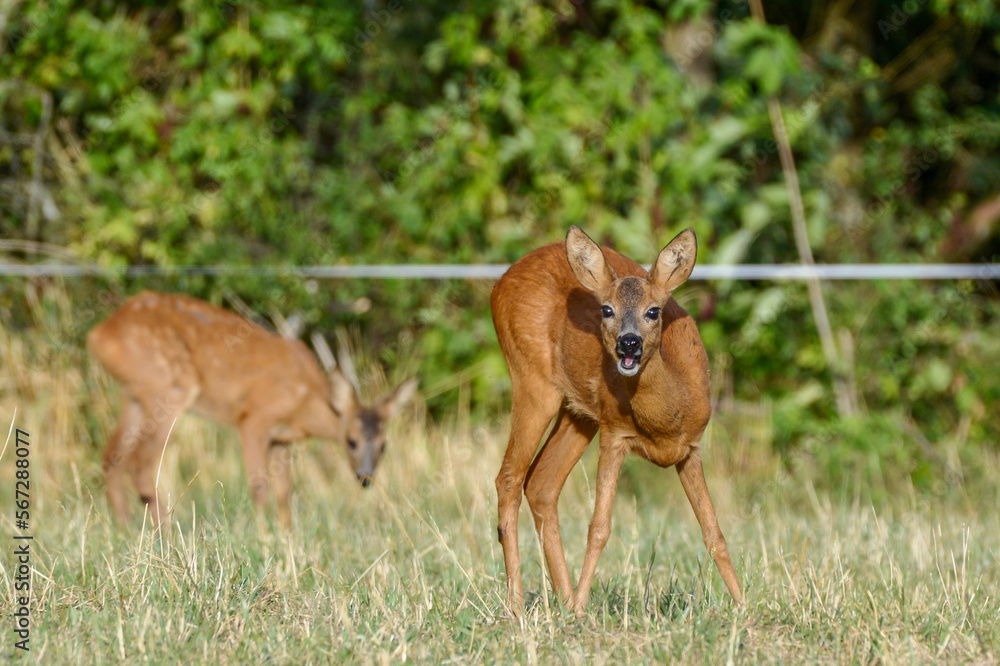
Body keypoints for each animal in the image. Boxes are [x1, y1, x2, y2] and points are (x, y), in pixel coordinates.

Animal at [87, 291, 418, 529]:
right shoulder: (254, 419)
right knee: (142, 463)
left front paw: (288, 541)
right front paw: (263, 539)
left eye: (384, 445)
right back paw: (166, 536)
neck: (305, 402)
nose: (365, 478)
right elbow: (259, 487)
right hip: (169, 387)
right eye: (351, 441)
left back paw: (128, 530)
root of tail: (99, 334)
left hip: (135, 396)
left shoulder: (282, 439)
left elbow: (285, 493)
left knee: (112, 456)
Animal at [490, 226, 743, 616]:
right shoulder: (614, 432)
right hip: (533, 382)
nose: (629, 343)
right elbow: (599, 527)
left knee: (541, 483)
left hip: (578, 412)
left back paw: (565, 601)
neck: (665, 421)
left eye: (653, 311)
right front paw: (582, 606)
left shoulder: (690, 448)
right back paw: (519, 606)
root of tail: (500, 283)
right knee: (509, 479)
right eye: (606, 309)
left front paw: (744, 605)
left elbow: (713, 532)